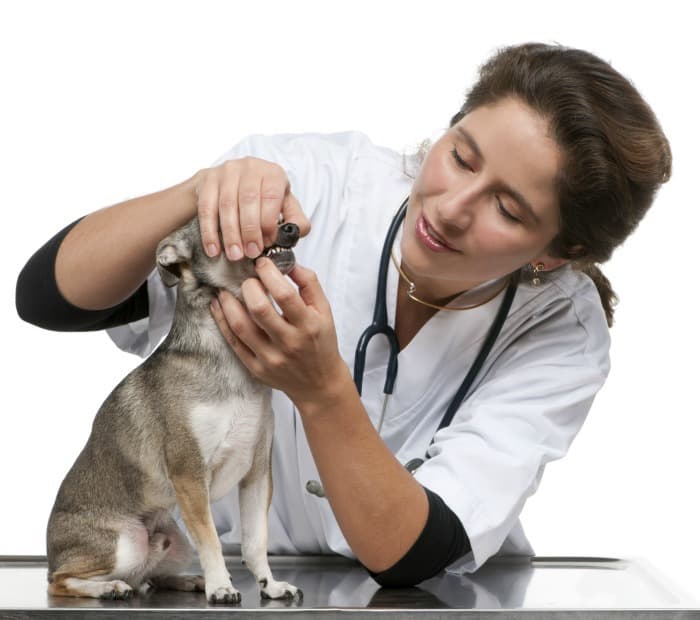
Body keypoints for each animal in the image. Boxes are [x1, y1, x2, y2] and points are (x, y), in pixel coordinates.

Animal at [45, 216, 302, 604]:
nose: (292, 227)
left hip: (176, 541)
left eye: (279, 219)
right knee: (61, 579)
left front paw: (269, 585)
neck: (225, 358)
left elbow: (255, 541)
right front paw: (221, 586)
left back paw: (189, 580)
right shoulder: (189, 474)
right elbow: (210, 539)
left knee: (150, 576)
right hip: (126, 543)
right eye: (232, 226)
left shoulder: (257, 473)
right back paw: (109, 587)